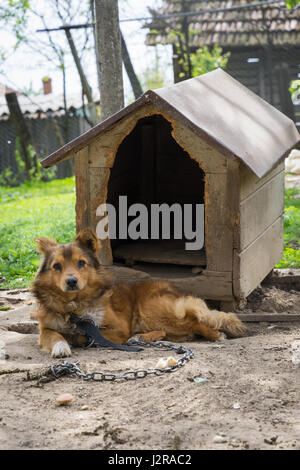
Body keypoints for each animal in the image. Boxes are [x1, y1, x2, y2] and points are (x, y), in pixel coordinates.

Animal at [31, 228, 246, 356]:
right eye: (57, 266)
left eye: (81, 263)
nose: (71, 281)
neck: (73, 306)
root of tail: (172, 288)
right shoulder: (45, 329)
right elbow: (54, 335)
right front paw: (61, 346)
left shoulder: (118, 327)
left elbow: (87, 336)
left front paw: (76, 338)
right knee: (173, 332)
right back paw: (141, 337)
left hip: (153, 312)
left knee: (194, 322)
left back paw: (215, 335)